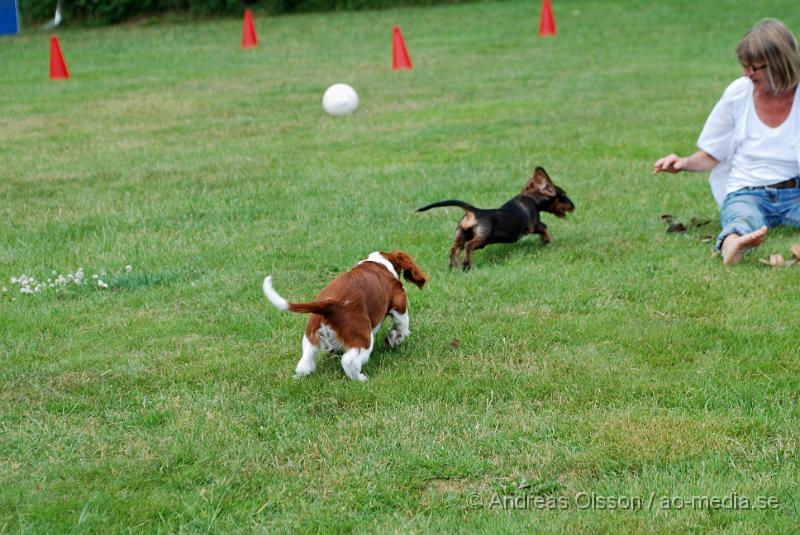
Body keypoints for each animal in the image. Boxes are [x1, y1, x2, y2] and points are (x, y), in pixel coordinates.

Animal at [262, 250, 428, 382]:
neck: (379, 263)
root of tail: (330, 305)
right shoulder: (399, 302)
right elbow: (402, 325)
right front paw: (395, 338)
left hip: (311, 335)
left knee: (305, 361)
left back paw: (301, 376)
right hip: (363, 336)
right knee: (349, 360)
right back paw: (360, 378)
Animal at [418, 169, 576, 272]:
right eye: (563, 195)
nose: (573, 206)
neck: (530, 198)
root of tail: (474, 211)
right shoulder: (534, 224)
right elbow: (545, 227)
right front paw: (546, 240)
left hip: (460, 235)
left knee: (454, 249)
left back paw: (453, 266)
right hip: (482, 239)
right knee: (469, 246)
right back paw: (466, 266)